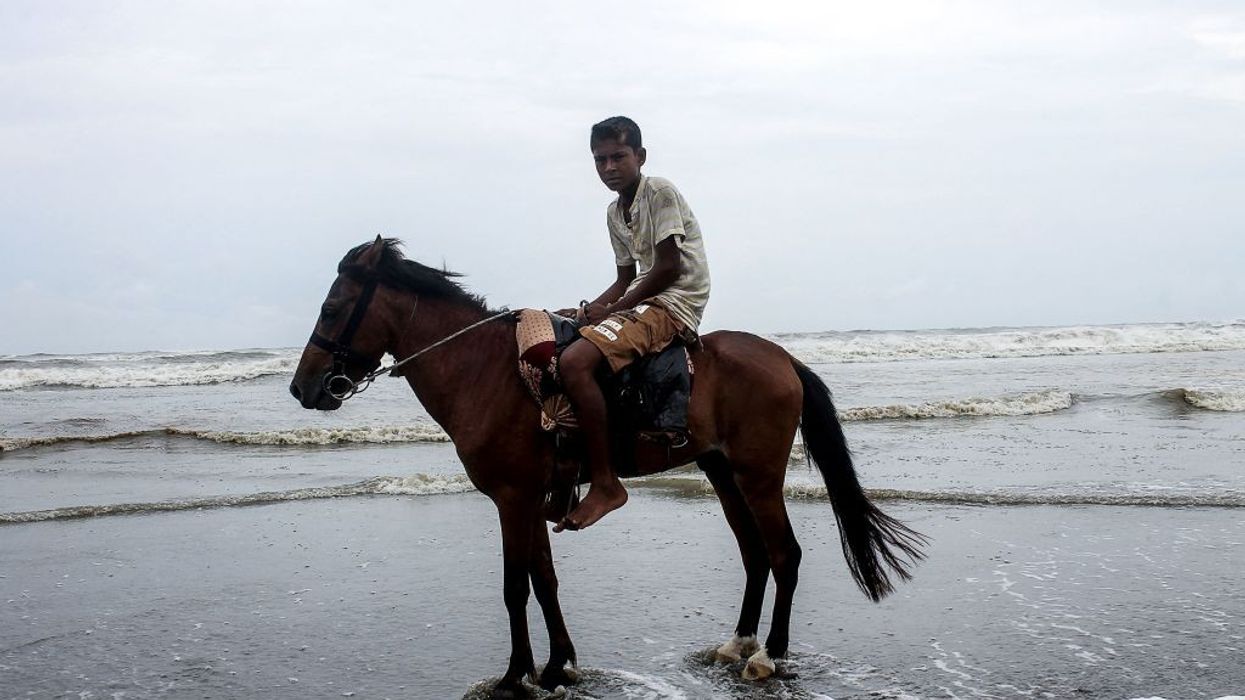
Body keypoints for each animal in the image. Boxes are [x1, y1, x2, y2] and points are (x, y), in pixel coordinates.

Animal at [289, 237, 926, 698]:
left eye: (332, 307)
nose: (302, 387)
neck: (484, 371)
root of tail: (784, 359)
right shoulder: (532, 499)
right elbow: (544, 581)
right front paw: (557, 666)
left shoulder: (512, 498)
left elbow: (514, 587)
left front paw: (515, 675)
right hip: (723, 473)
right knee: (754, 554)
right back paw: (738, 644)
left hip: (759, 475)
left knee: (784, 555)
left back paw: (769, 655)